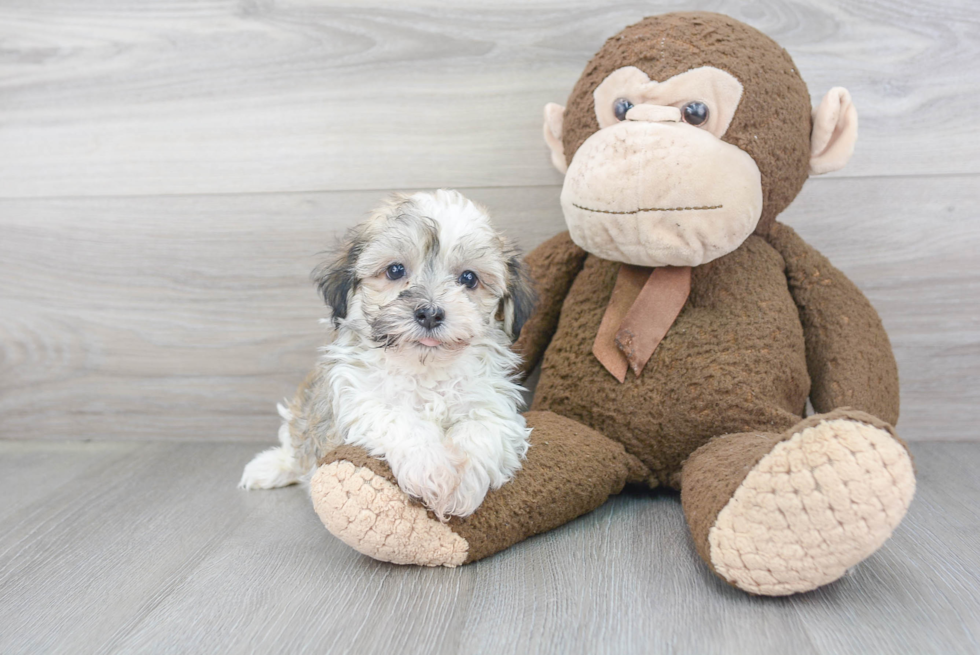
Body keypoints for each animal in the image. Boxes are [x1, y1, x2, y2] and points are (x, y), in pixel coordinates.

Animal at [239, 191, 536, 524]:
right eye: (395, 270)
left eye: (469, 278)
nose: (430, 313)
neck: (424, 368)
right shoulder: (358, 399)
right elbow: (400, 419)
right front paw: (435, 471)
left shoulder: (492, 405)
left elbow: (481, 430)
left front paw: (462, 483)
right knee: (295, 446)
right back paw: (268, 467)